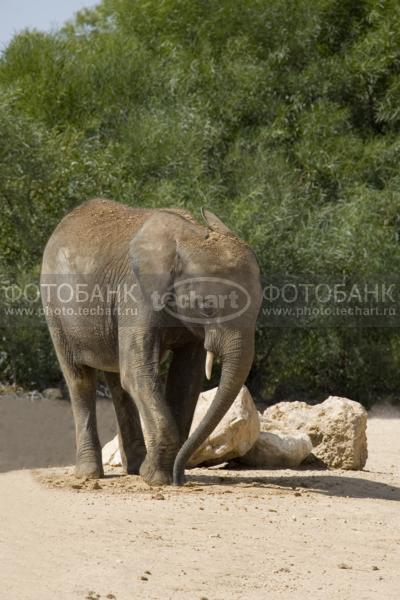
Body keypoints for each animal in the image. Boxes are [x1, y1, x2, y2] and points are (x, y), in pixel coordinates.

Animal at [41, 199, 262, 486]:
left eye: (259, 307)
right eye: (206, 308)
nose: (181, 478)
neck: (188, 237)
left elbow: (186, 379)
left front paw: (164, 475)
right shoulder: (136, 295)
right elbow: (139, 373)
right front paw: (157, 478)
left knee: (117, 381)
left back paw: (134, 468)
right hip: (54, 307)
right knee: (80, 379)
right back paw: (90, 474)